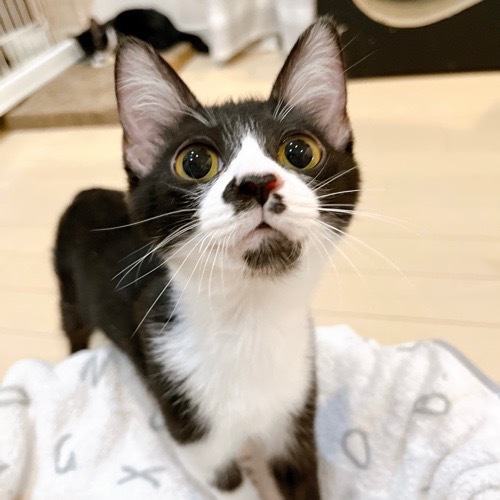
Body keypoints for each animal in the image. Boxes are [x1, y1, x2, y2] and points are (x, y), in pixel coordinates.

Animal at [55, 17, 360, 499]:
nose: (257, 182)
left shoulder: (295, 408)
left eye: (300, 151)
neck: (249, 321)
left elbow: (302, 475)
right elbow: (229, 482)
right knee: (72, 323)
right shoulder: (195, 431)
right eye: (195, 162)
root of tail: (82, 193)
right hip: (66, 282)